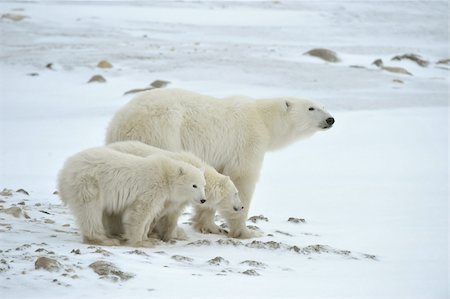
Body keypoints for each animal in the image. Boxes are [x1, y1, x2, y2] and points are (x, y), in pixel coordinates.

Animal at [106, 88, 334, 239]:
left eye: (324, 106)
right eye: (311, 108)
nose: (331, 119)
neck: (263, 120)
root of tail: (124, 122)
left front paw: (209, 226)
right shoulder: (247, 141)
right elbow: (242, 178)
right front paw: (246, 230)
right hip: (163, 131)